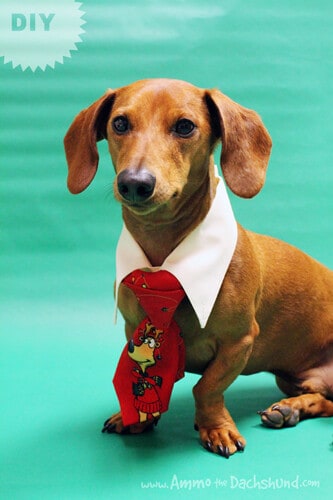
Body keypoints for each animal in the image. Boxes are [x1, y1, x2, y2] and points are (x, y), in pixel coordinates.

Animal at [63, 78, 332, 458]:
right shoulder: (133, 330)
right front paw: (137, 418)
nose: (134, 183)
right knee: (323, 399)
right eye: (120, 123)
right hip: (290, 378)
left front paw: (215, 428)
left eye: (185, 126)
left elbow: (206, 387)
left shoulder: (240, 342)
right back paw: (291, 408)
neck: (162, 253)